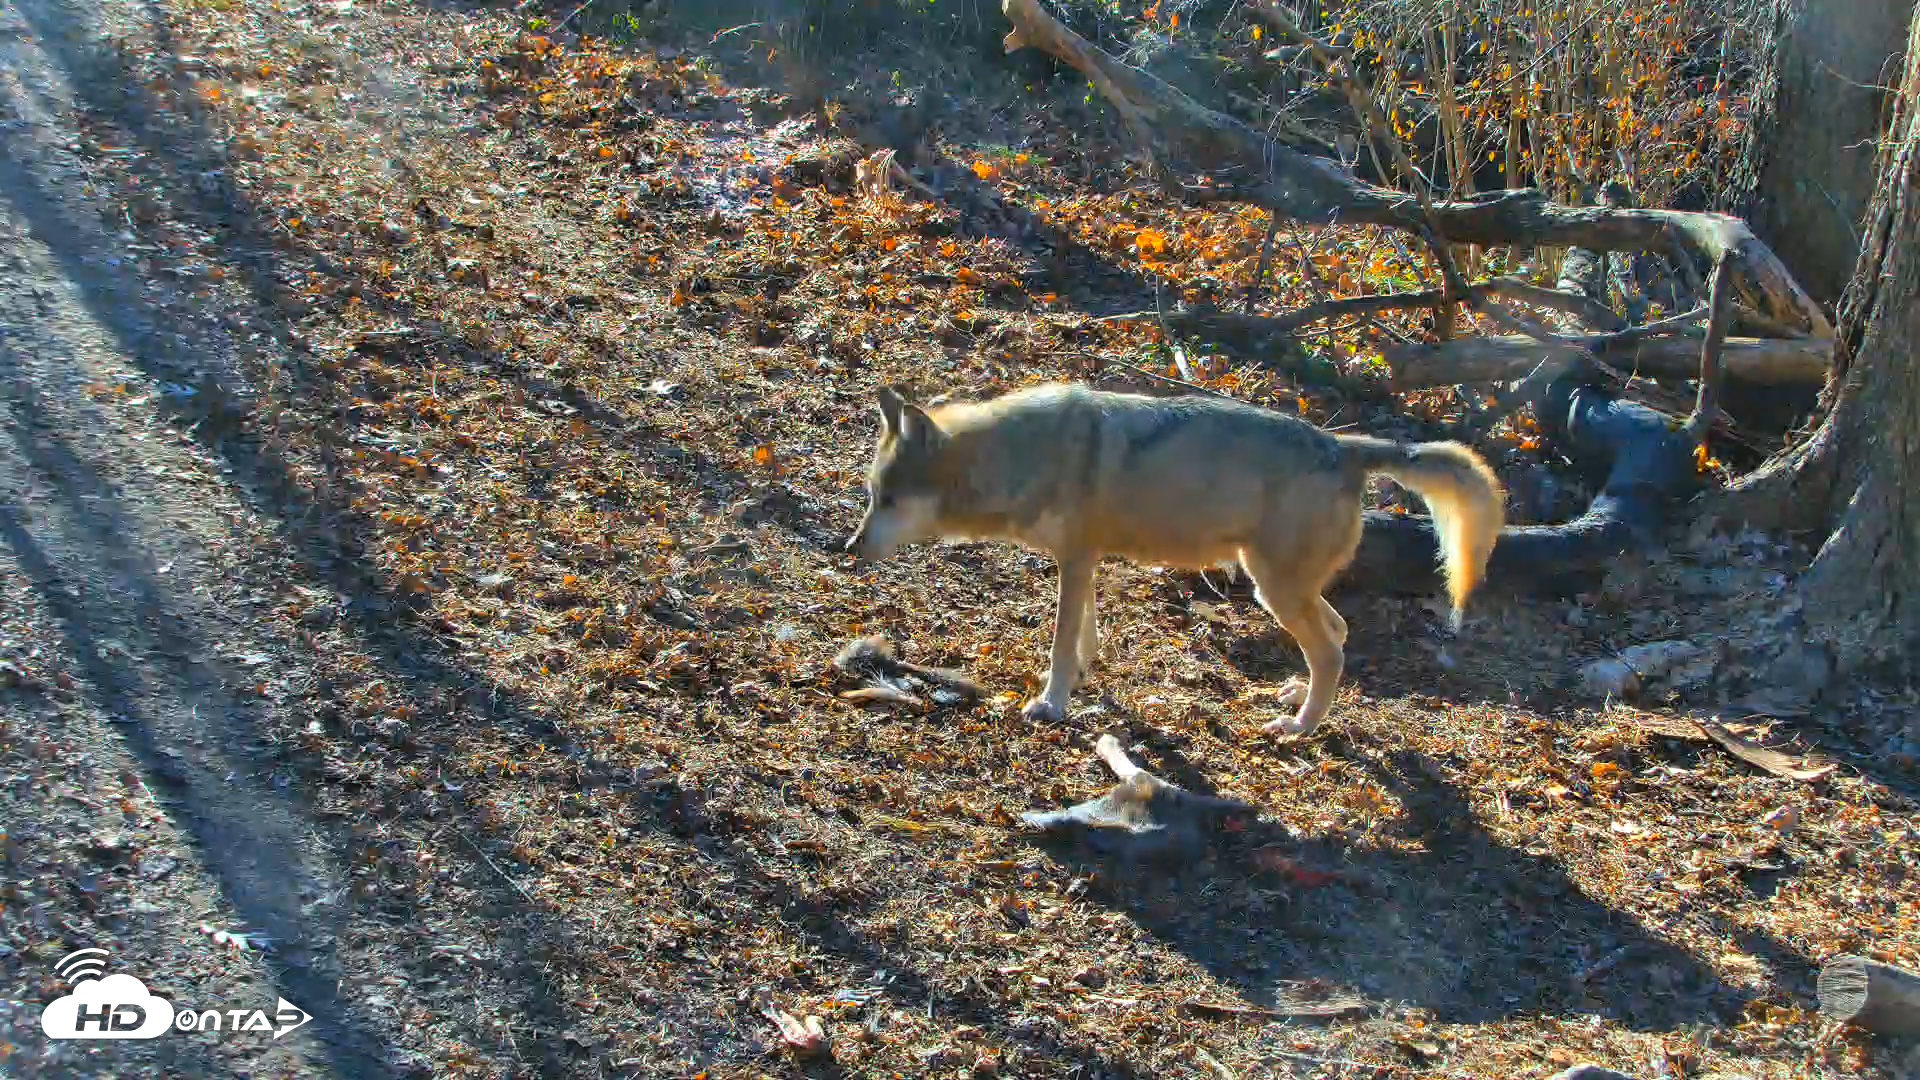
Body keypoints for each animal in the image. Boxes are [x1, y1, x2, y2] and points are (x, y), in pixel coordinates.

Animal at [844, 383, 1504, 736]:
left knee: (1333, 651)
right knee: (1338, 635)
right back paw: (1294, 696)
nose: (849, 549)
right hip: (1279, 588)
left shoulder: (1076, 559)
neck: (1022, 456)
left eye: (888, 500)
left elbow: (1059, 644)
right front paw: (1079, 679)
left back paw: (1299, 727)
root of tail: (1344, 446)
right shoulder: (1082, 560)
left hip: (1273, 588)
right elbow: (1083, 636)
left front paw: (1052, 705)